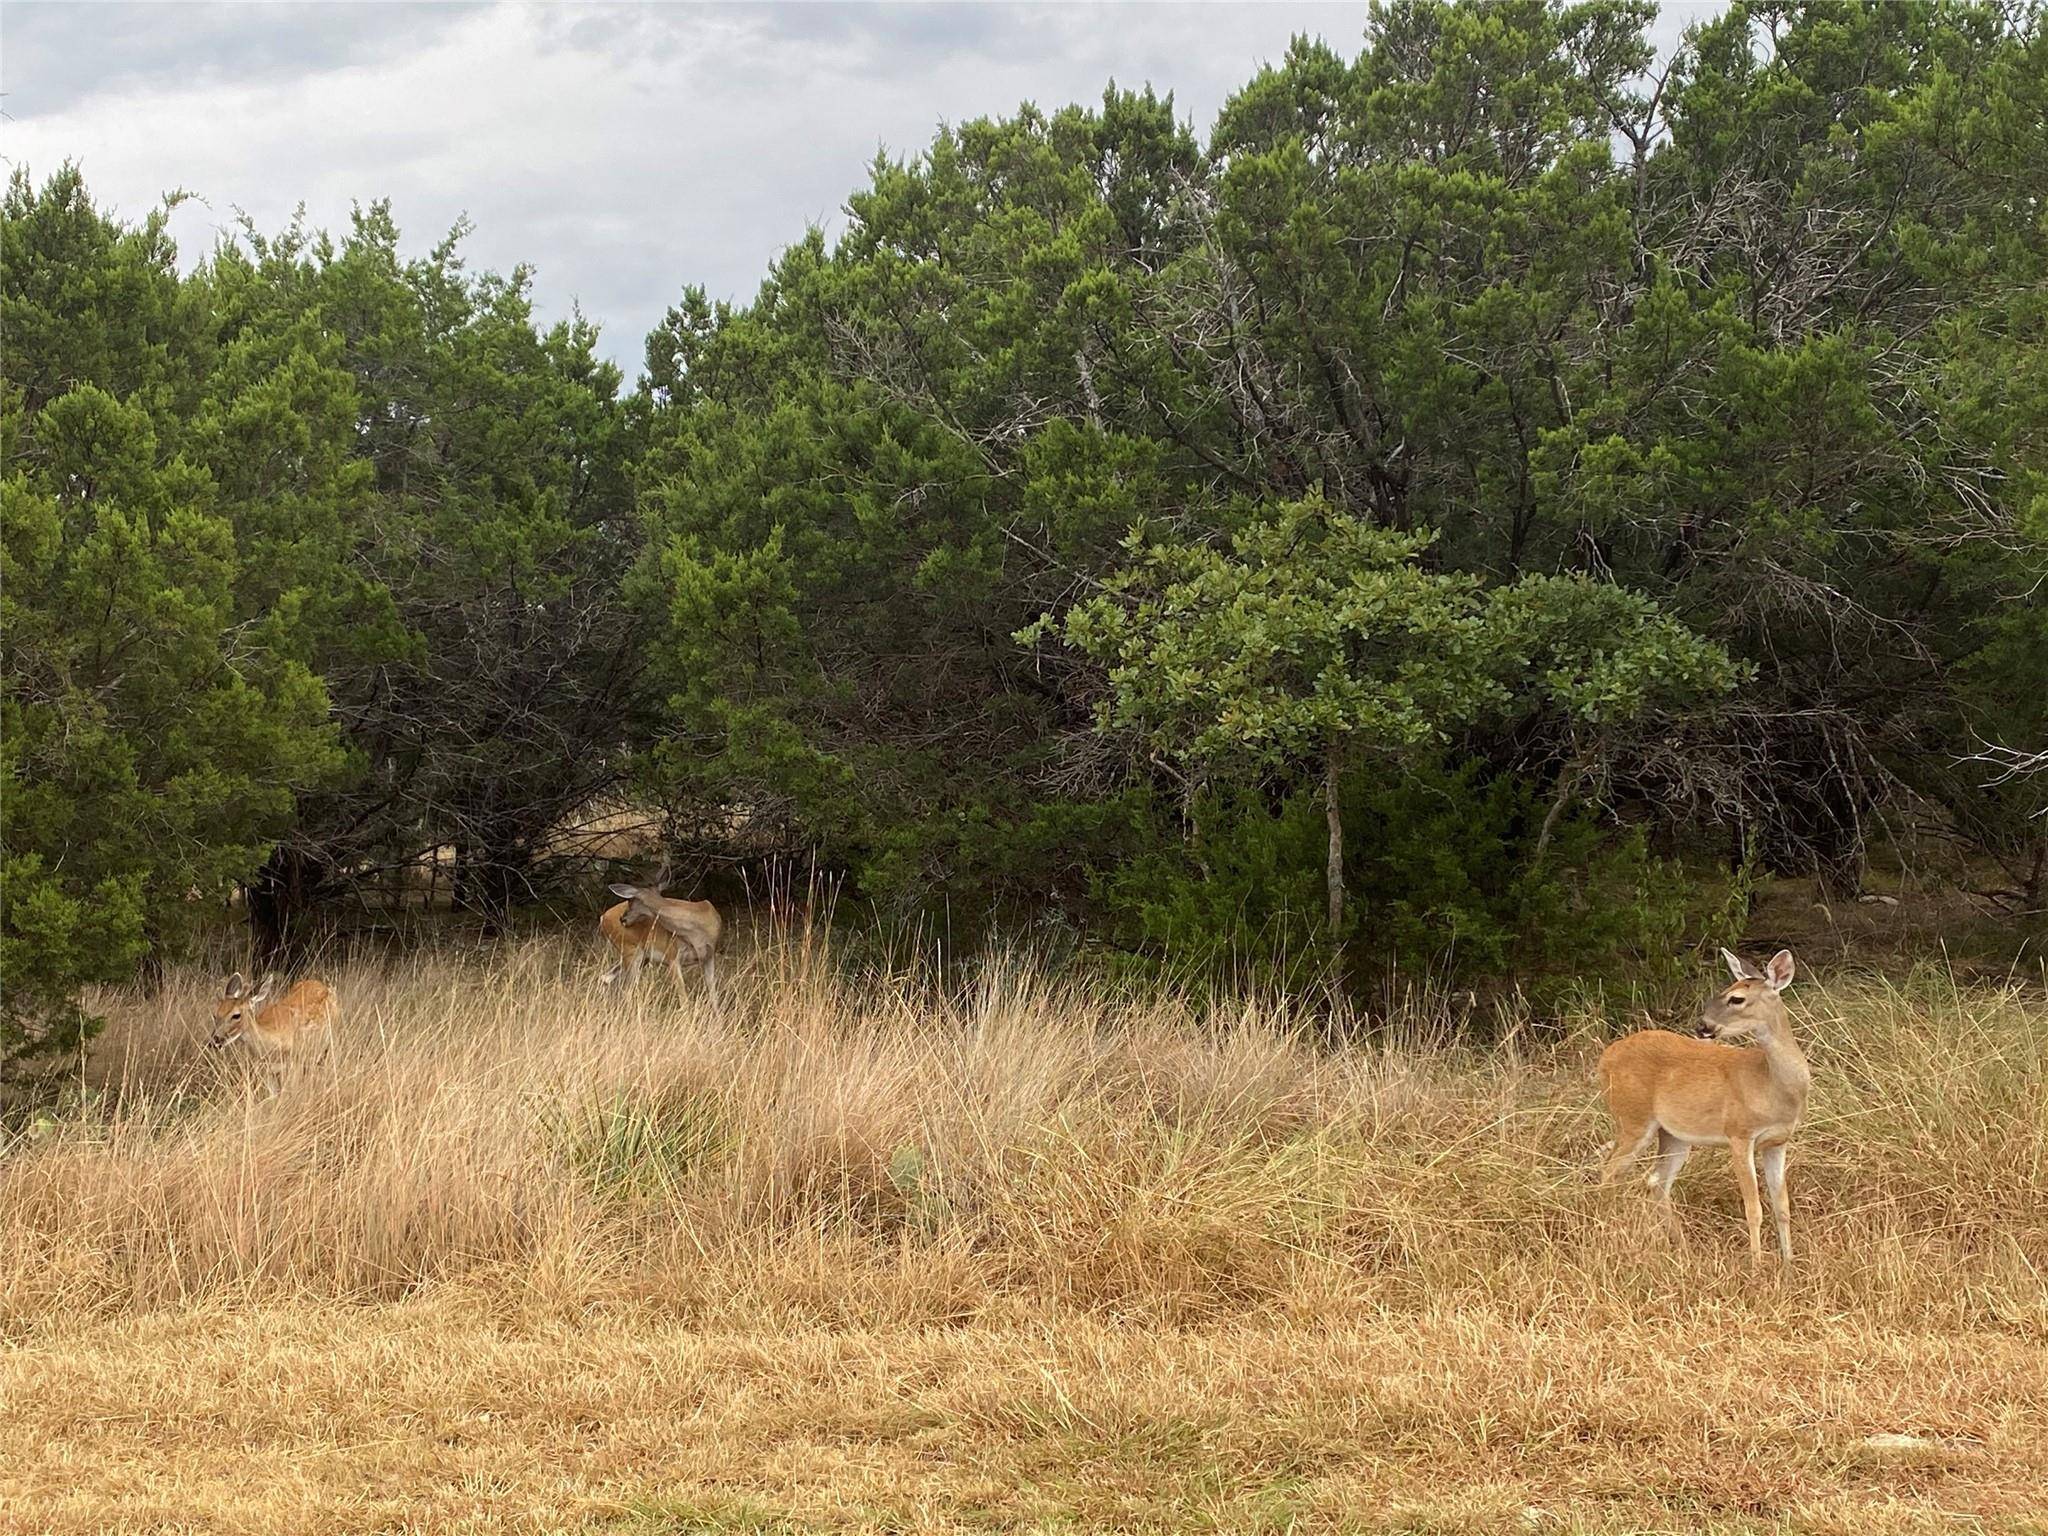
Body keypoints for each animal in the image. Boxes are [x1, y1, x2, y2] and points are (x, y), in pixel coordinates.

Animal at [598, 876, 724, 1011]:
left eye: (630, 900)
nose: (622, 918)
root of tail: (603, 917)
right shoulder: (672, 956)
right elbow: (684, 999)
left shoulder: (709, 956)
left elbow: (714, 996)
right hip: (631, 950)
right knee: (626, 988)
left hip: (641, 957)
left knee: (607, 978)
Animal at [1589, 958, 1818, 1269]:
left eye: (1737, 998)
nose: (1702, 1026)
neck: (1771, 1086)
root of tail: (1604, 1059)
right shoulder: (1739, 1134)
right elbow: (1754, 1208)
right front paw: (1757, 1266)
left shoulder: (1778, 1141)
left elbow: (1782, 1206)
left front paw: (1789, 1264)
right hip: (1632, 1118)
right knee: (1609, 1171)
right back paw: (1607, 1235)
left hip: (1673, 1135)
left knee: (1656, 1181)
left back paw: (1680, 1249)